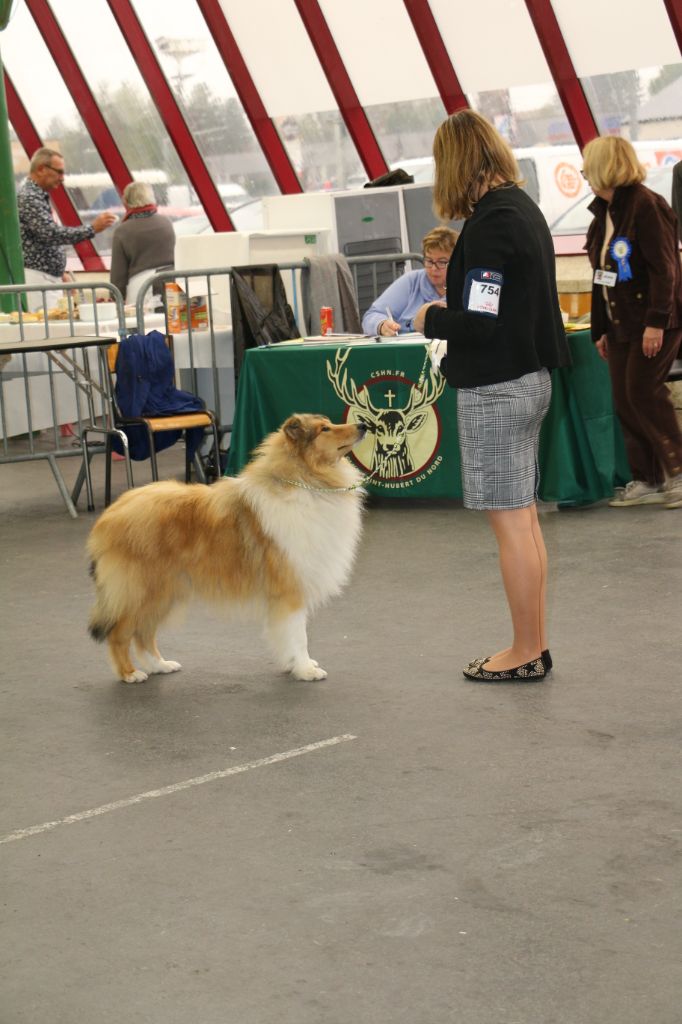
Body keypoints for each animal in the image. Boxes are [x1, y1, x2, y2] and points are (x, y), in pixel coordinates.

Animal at [89, 415, 366, 688]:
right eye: (324, 429)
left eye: (329, 423)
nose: (363, 425)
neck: (305, 480)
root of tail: (110, 514)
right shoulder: (290, 588)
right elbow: (299, 635)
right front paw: (305, 669)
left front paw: (294, 664)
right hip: (142, 590)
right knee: (119, 633)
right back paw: (130, 674)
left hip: (164, 591)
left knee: (143, 634)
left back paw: (160, 665)